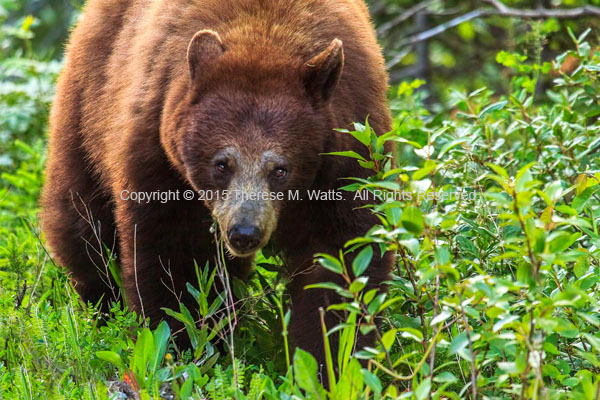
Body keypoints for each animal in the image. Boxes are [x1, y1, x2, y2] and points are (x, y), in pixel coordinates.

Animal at [39, 0, 392, 374]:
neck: (263, 39)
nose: (244, 233)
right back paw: (103, 311)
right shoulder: (160, 152)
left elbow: (342, 259)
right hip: (87, 110)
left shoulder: (349, 149)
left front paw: (335, 360)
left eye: (280, 169)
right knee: (83, 228)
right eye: (222, 164)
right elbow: (175, 256)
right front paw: (179, 346)